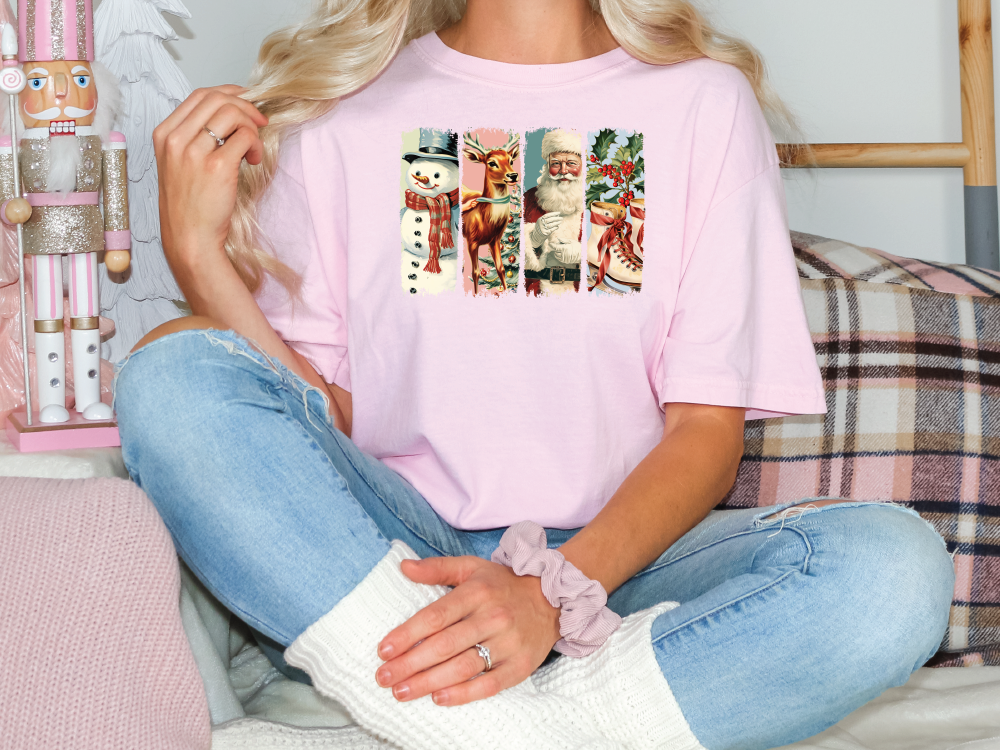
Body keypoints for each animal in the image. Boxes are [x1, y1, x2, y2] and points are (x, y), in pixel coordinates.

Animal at [462, 134, 520, 292]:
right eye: (492, 163)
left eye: (511, 160)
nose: (513, 175)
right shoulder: (471, 240)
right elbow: (475, 272)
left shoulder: (495, 240)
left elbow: (501, 268)